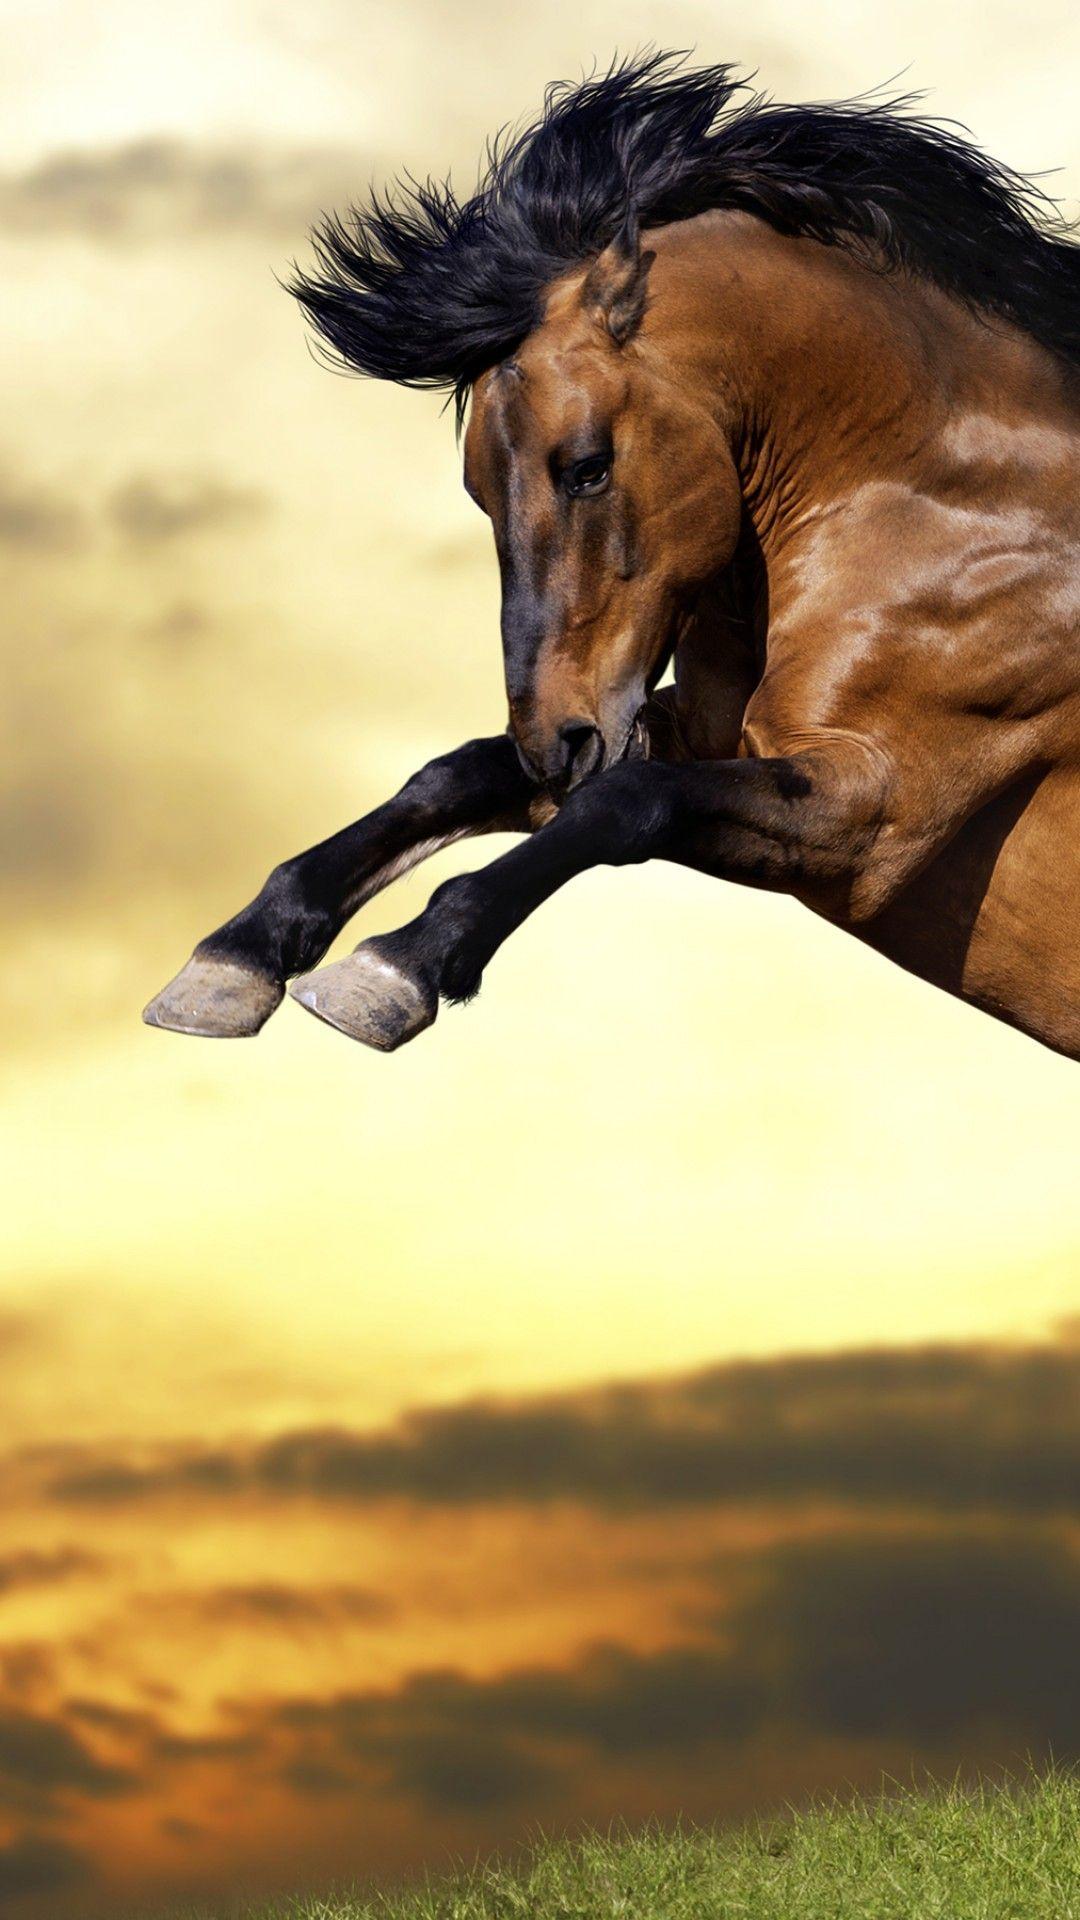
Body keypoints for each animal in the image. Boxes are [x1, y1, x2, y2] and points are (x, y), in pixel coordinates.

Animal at [144, 55, 1080, 1059]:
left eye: (586, 467)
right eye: (478, 490)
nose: (556, 743)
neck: (938, 504)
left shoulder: (870, 812)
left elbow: (626, 802)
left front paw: (397, 967)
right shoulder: (687, 730)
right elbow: (462, 775)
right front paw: (234, 959)